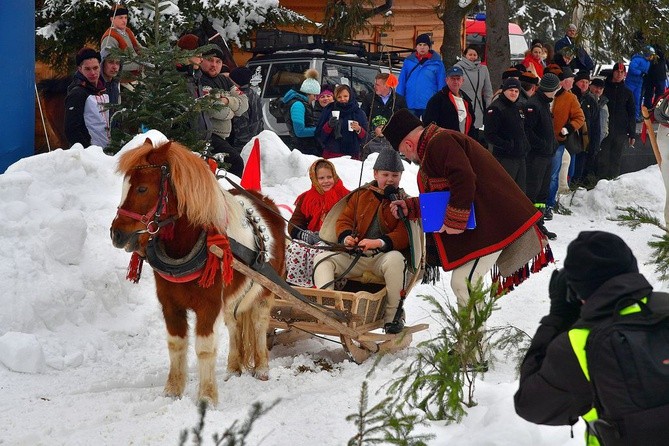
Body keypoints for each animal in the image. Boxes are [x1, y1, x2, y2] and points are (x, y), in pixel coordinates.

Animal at [109, 139, 284, 404]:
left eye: (142, 189)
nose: (116, 234)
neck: (187, 246)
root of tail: (266, 202)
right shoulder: (170, 304)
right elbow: (176, 344)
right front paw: (172, 391)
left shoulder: (208, 306)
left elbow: (204, 348)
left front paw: (207, 397)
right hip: (234, 297)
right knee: (234, 325)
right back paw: (233, 369)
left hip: (265, 290)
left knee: (259, 323)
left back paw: (262, 368)